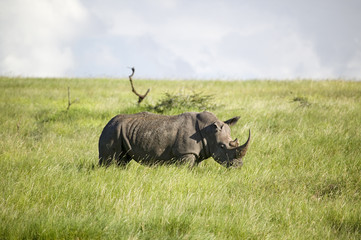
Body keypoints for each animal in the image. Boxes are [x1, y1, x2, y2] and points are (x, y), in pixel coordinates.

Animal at [98, 111, 250, 168]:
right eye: (223, 147)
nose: (238, 166)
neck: (208, 131)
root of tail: (108, 123)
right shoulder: (185, 153)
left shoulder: (196, 153)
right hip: (112, 130)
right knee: (110, 159)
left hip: (120, 131)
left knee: (123, 160)